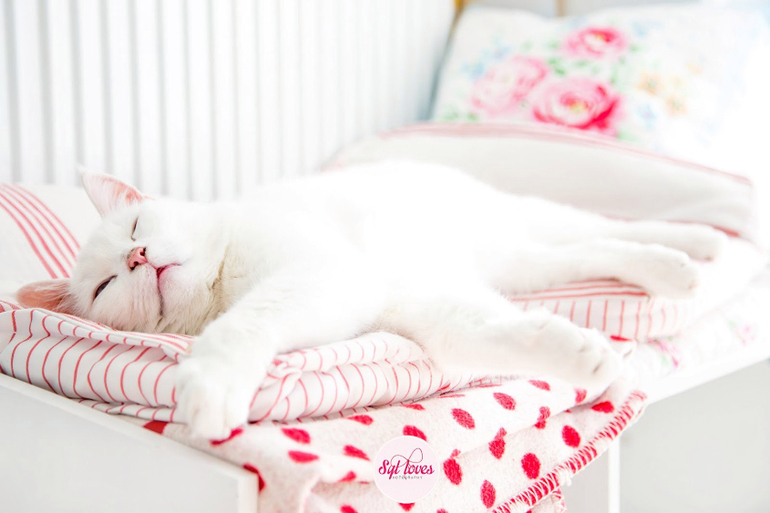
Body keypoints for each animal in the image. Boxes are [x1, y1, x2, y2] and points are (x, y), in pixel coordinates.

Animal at [17, 161, 725, 439]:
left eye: (137, 227)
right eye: (106, 286)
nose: (139, 257)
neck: (224, 277)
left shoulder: (323, 273)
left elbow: (238, 330)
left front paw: (209, 386)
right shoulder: (409, 304)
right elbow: (488, 332)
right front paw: (585, 357)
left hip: (529, 219)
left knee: (603, 226)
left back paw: (694, 245)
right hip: (519, 262)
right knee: (591, 251)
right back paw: (673, 269)